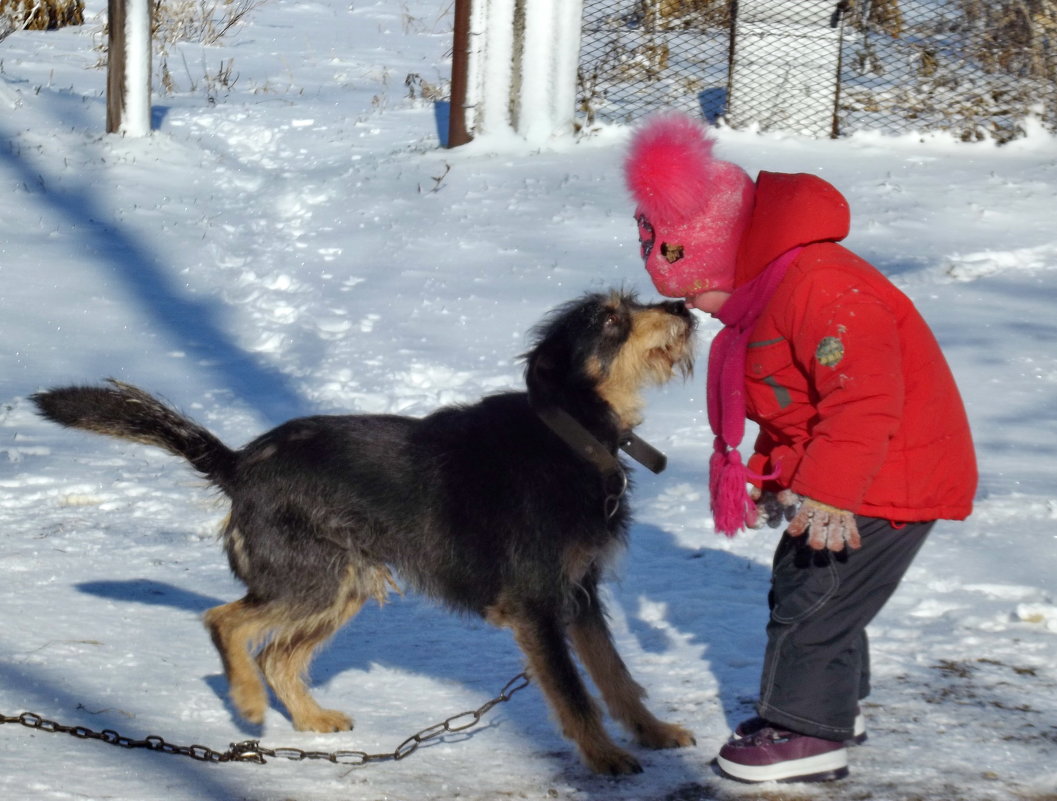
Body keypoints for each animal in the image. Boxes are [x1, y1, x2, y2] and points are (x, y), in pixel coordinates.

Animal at [30, 291, 693, 773]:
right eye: (610, 318)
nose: (683, 307)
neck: (570, 432)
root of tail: (239, 464)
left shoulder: (580, 595)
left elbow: (615, 675)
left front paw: (652, 732)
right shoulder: (536, 605)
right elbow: (576, 692)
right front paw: (605, 757)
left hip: (342, 582)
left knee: (275, 653)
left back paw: (310, 720)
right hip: (315, 580)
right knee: (225, 621)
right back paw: (247, 698)